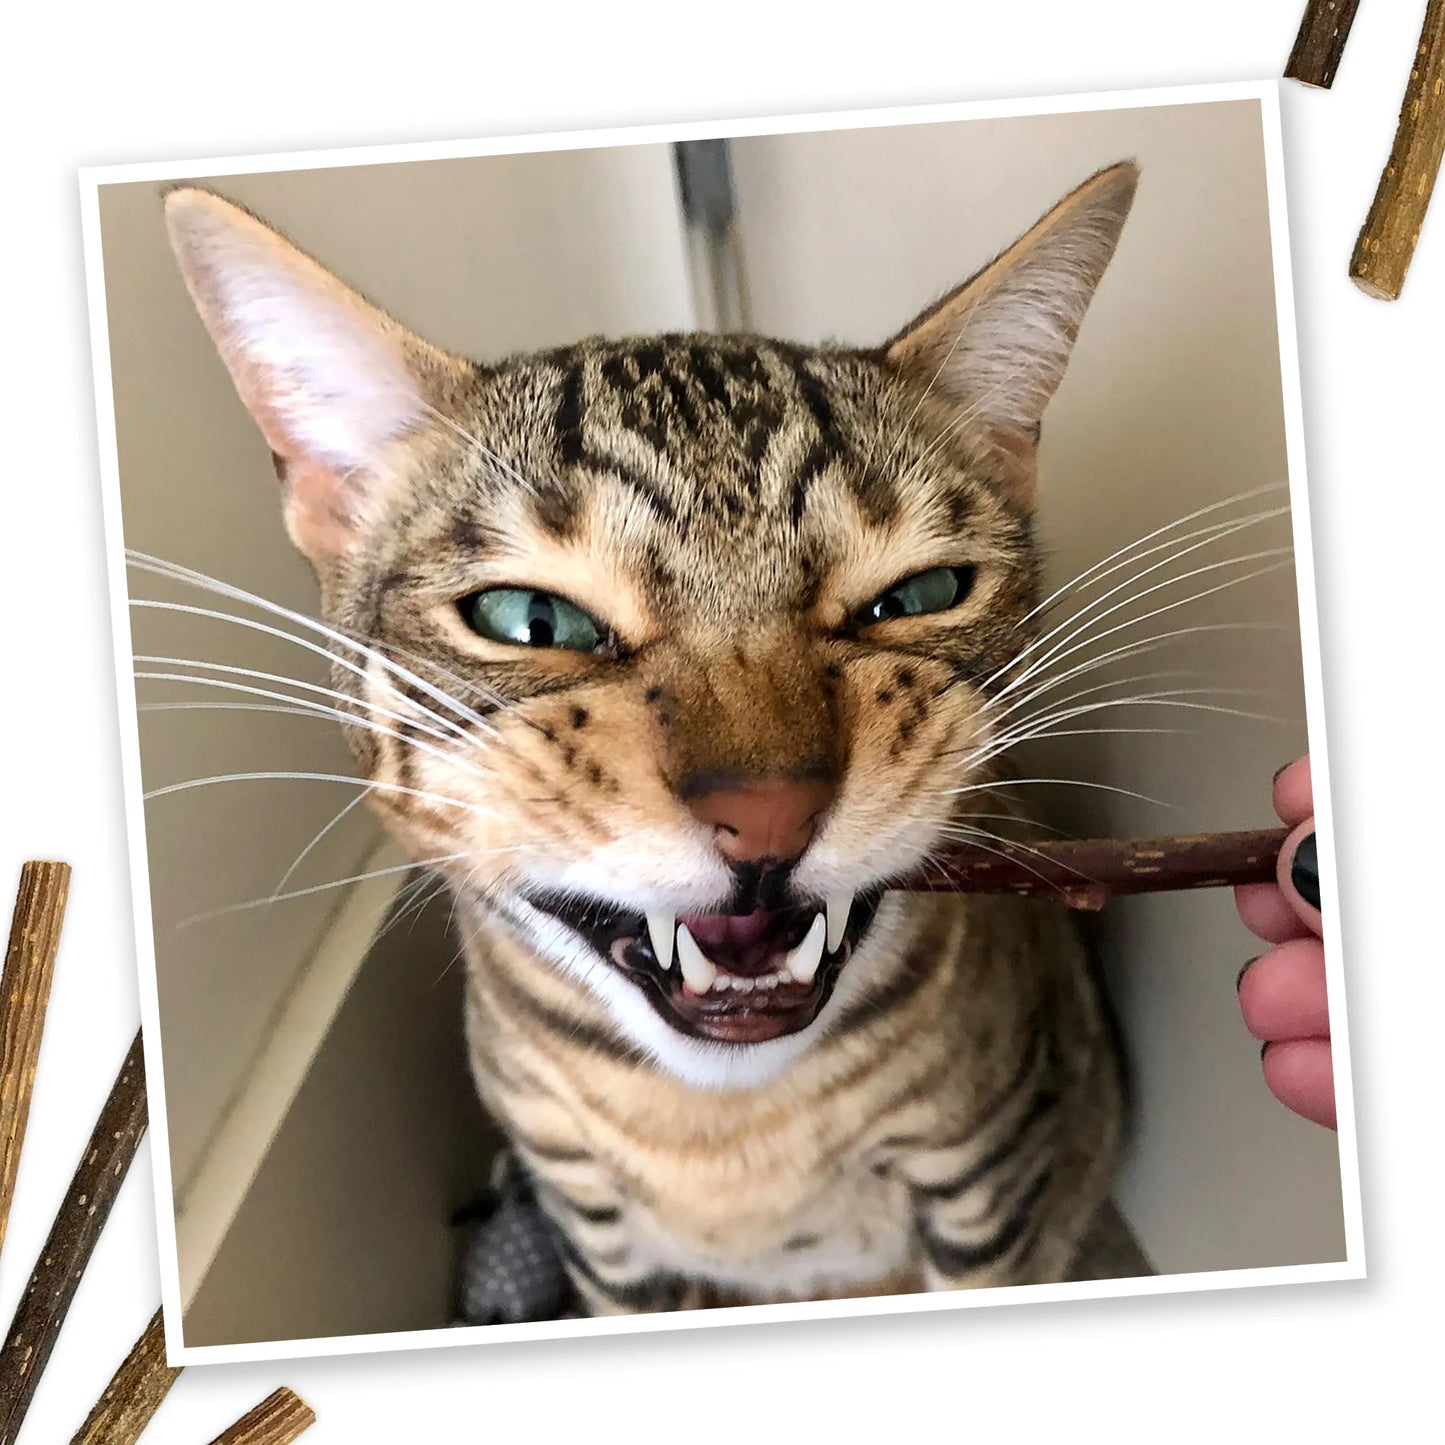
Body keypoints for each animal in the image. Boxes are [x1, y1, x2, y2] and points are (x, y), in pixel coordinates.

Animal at [161, 161, 1150, 1323]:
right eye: (530, 620)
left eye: (916, 596)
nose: (767, 812)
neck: (722, 1133)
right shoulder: (596, 1229)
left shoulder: (987, 1178)